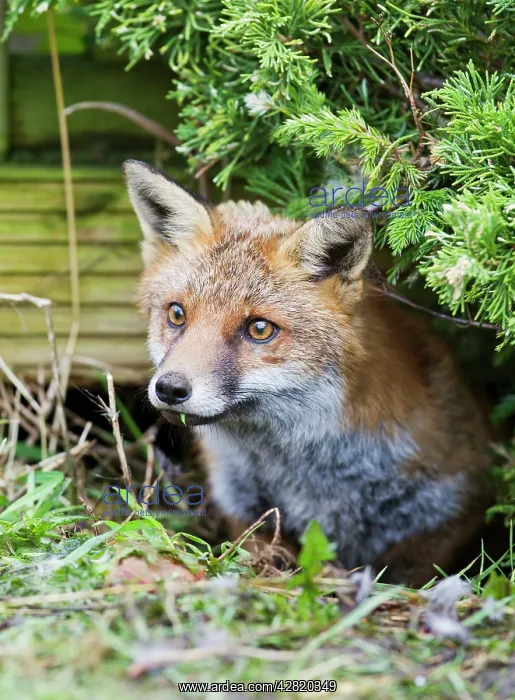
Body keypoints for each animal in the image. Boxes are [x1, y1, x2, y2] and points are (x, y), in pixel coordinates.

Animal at [123, 159, 492, 587]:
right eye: (177, 314)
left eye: (260, 329)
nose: (170, 388)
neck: (304, 474)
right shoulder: (242, 506)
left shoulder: (446, 512)